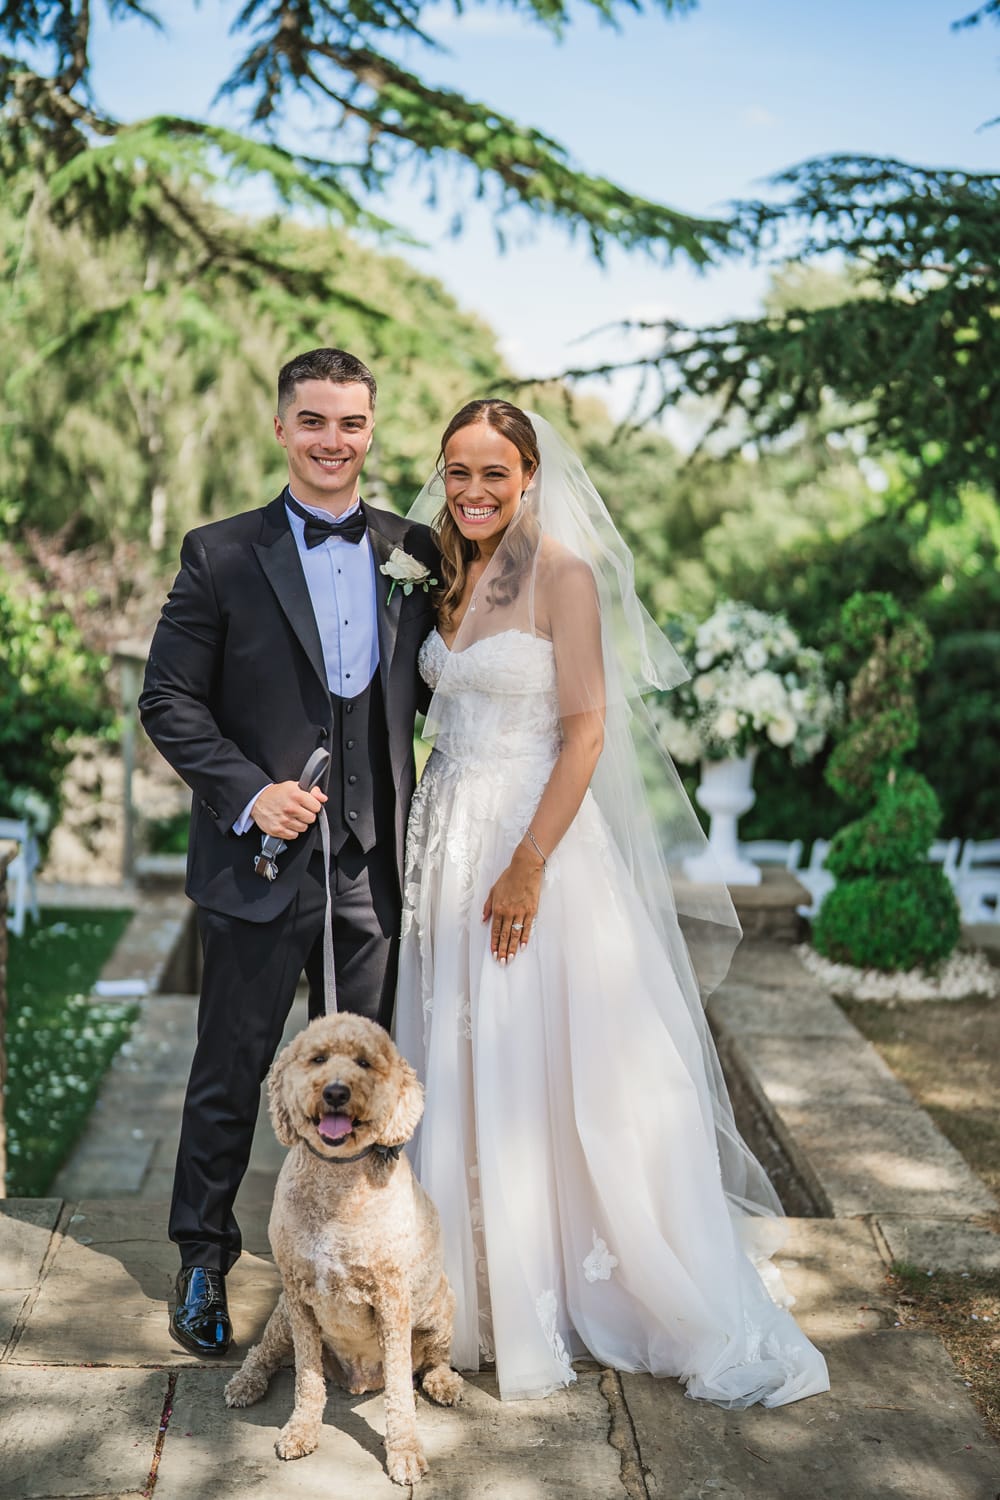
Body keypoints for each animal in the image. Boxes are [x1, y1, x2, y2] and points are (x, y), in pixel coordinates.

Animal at [224, 1012, 462, 1483]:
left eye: (365, 1063)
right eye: (317, 1058)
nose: (335, 1091)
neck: (336, 1180)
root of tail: (359, 1380)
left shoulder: (392, 1301)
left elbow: (399, 1395)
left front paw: (404, 1451)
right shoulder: (299, 1298)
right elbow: (307, 1379)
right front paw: (301, 1430)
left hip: (440, 1307)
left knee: (432, 1360)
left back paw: (442, 1381)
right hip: (281, 1315)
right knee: (263, 1353)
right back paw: (246, 1383)